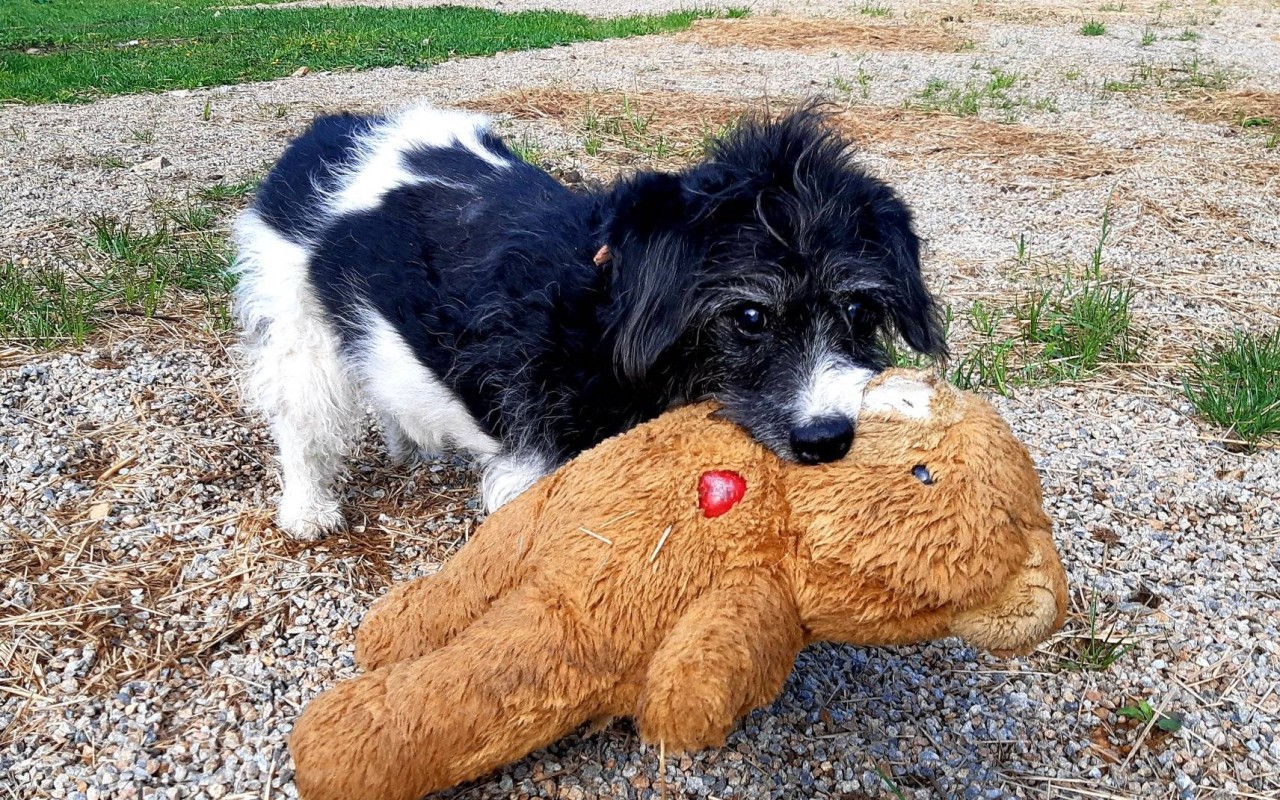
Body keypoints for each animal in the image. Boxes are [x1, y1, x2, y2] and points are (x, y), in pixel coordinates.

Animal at [235, 99, 947, 537]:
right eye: (748, 316)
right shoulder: (543, 470)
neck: (609, 311)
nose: (828, 440)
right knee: (300, 418)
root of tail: (326, 134)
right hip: (298, 328)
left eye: (857, 308)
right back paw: (307, 509)